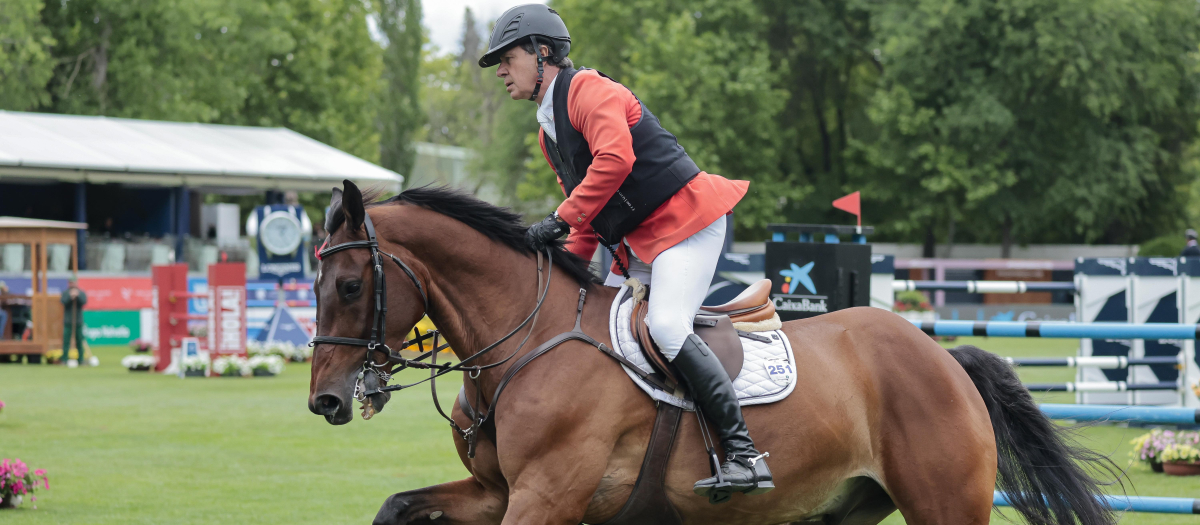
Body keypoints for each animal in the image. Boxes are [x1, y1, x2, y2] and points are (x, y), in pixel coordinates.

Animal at [307, 180, 1113, 525]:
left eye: (347, 283)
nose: (326, 400)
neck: (527, 341)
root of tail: (943, 358)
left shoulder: (546, 497)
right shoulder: (499, 492)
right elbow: (396, 507)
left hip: (946, 503)